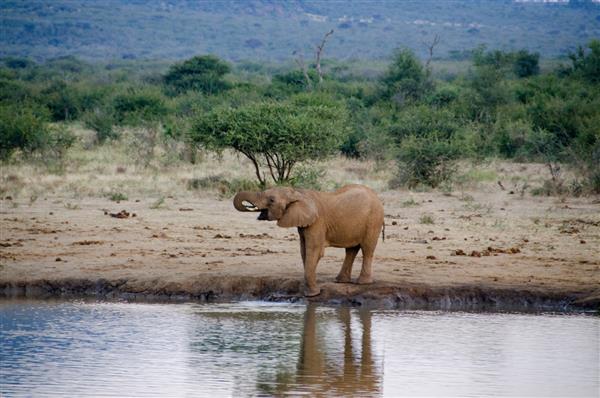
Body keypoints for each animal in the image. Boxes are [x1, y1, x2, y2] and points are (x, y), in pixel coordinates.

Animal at [233, 183, 384, 296]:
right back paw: (341, 281)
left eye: (271, 200)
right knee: (351, 250)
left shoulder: (317, 222)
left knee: (367, 248)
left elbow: (314, 250)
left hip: (374, 219)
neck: (297, 193)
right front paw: (310, 292)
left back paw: (362, 283)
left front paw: (312, 294)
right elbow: (304, 250)